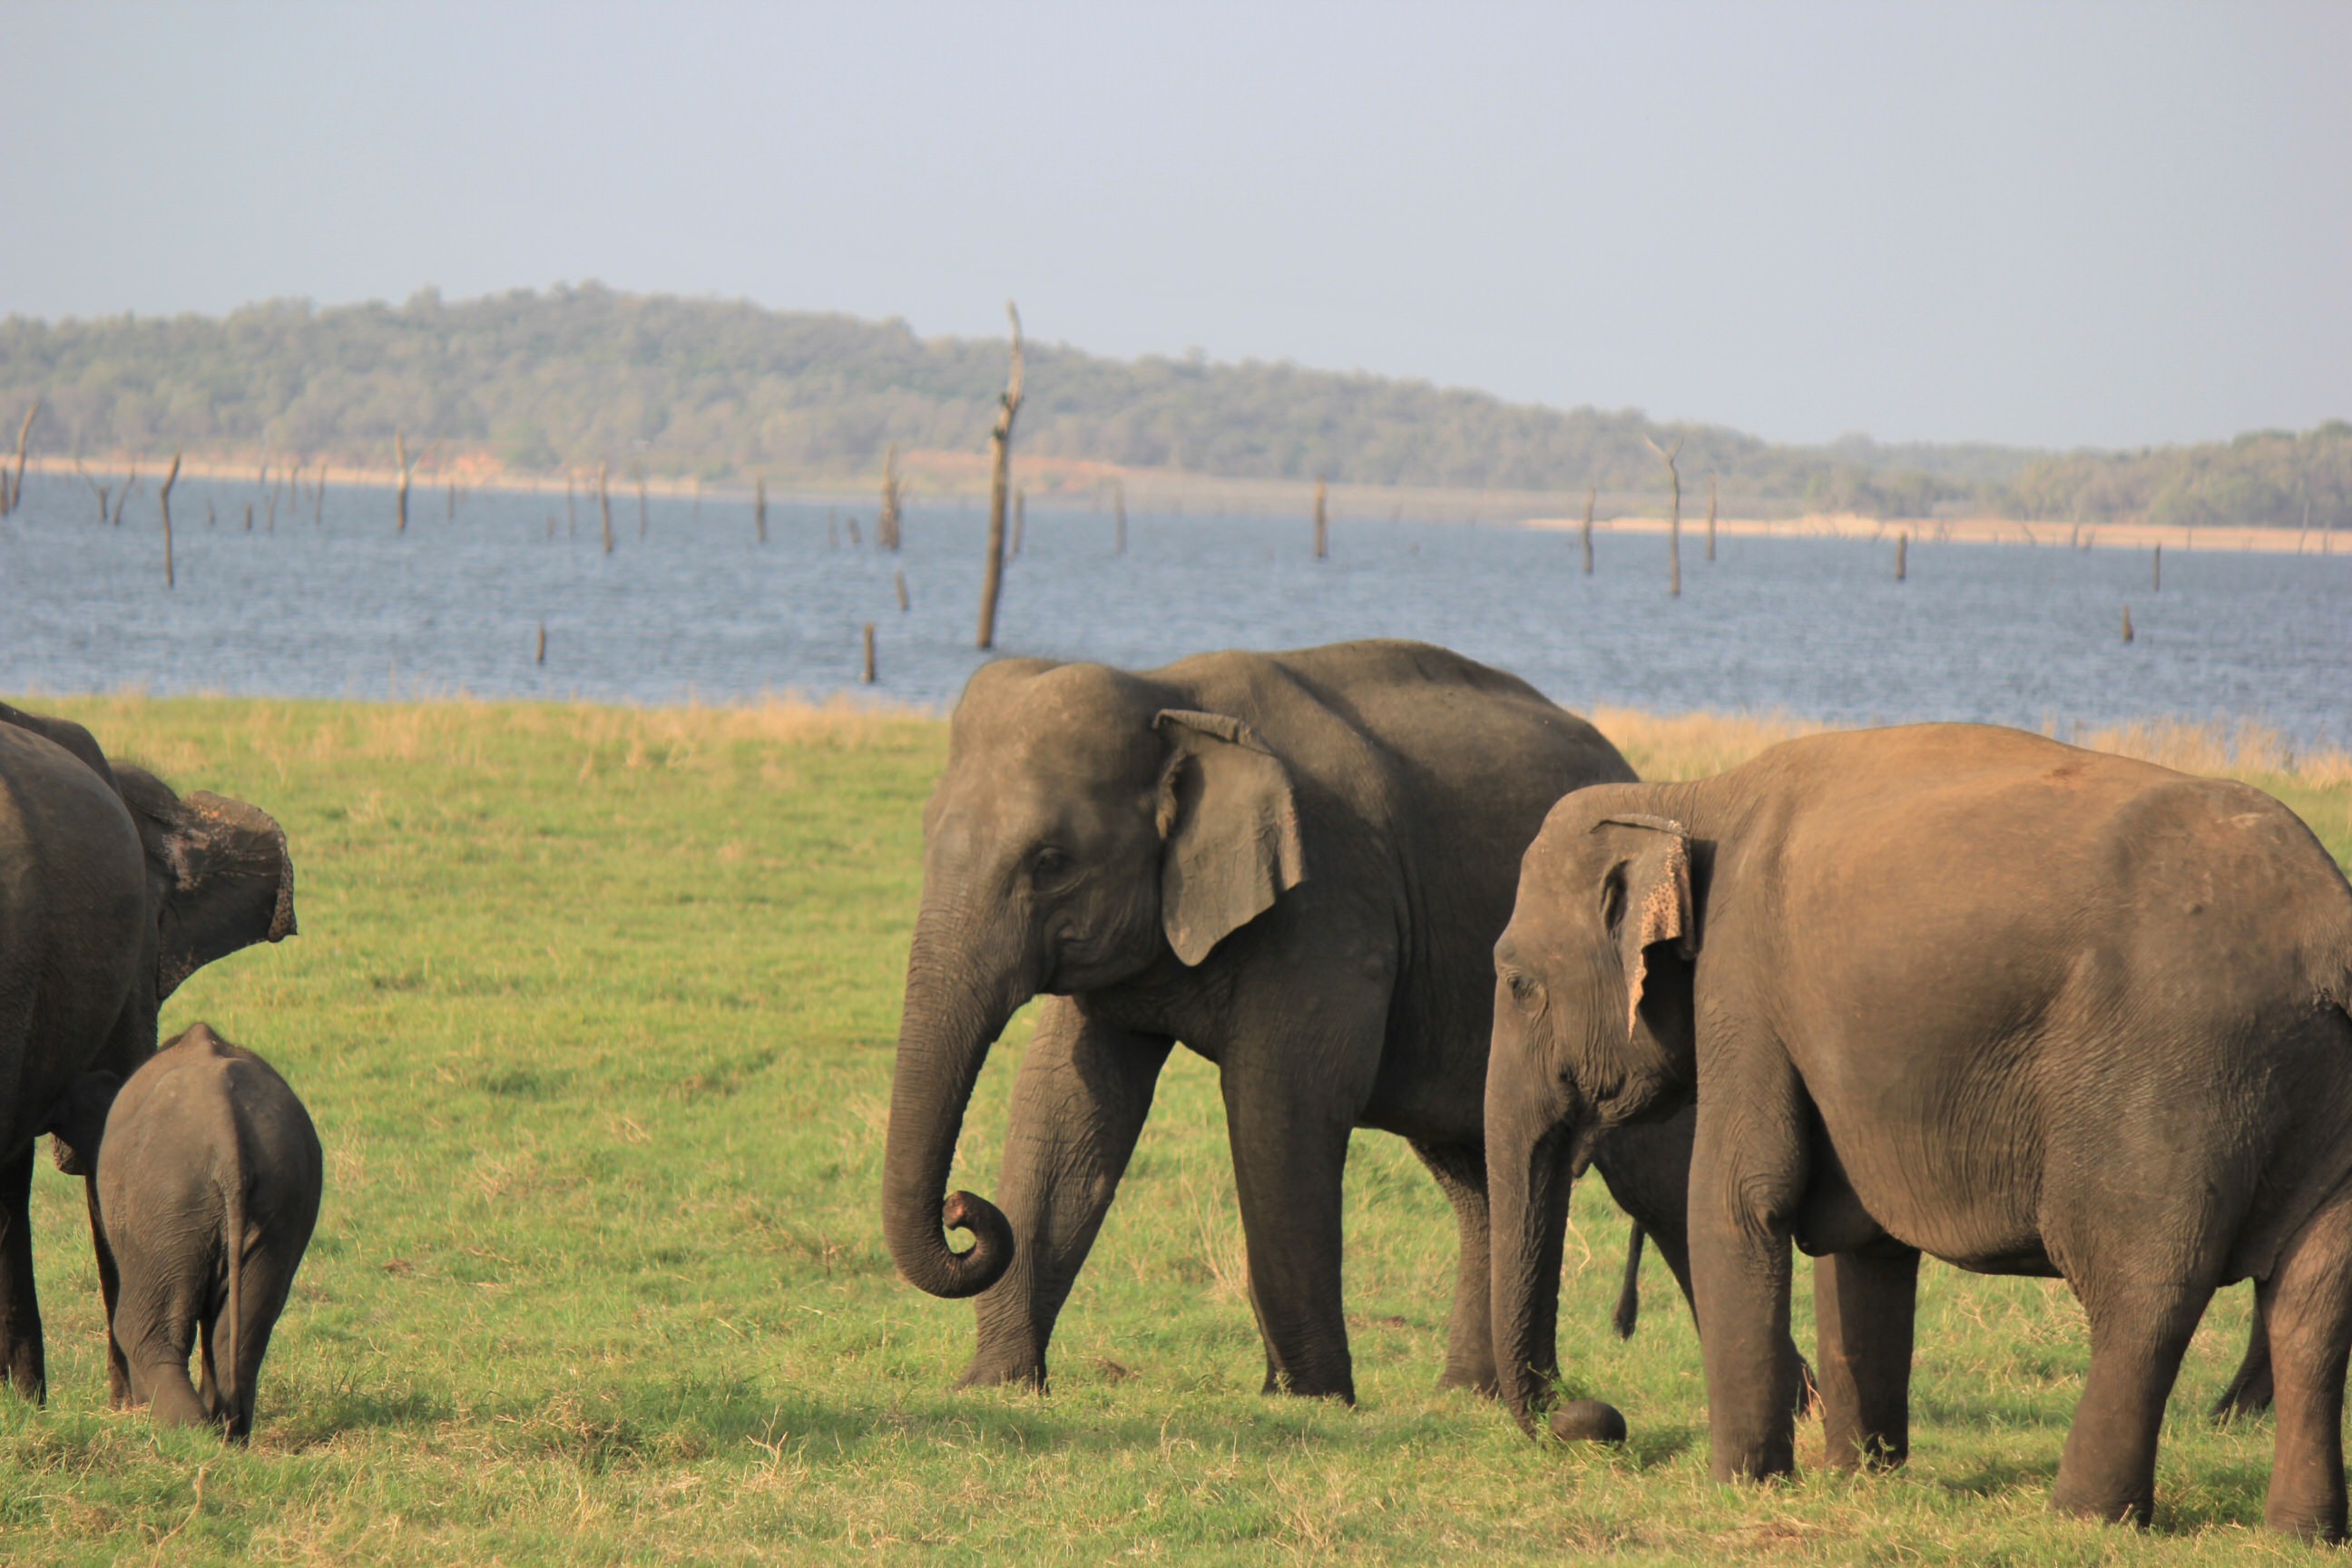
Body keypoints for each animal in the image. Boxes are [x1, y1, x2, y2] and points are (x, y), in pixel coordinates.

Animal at [48, 1023, 322, 1439]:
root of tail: (228, 1136)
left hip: (167, 1202)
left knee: (142, 1327)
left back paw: (189, 1432)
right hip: (282, 1197)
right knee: (243, 1332)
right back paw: (227, 1435)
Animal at [881, 638, 1797, 1404]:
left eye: (1050, 862)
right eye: (923, 832)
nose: (963, 1211)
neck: (1172, 694)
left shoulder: (1329, 901)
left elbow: (1281, 1109)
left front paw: (1310, 1400)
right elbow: (1068, 1105)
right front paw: (994, 1387)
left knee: (1658, 1181)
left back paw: (1797, 1406)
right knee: (1479, 1177)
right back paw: (1469, 1397)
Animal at [1484, 721, 2352, 1538]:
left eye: (1518, 983)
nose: (1594, 1419)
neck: (1690, 797)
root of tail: (2328, 933)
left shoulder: (1742, 981)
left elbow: (1741, 1198)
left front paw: (1739, 1486)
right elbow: (1858, 1235)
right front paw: (1861, 1478)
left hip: (2175, 1076)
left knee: (2143, 1288)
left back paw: (2083, 1516)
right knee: (2313, 1302)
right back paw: (2300, 1531)